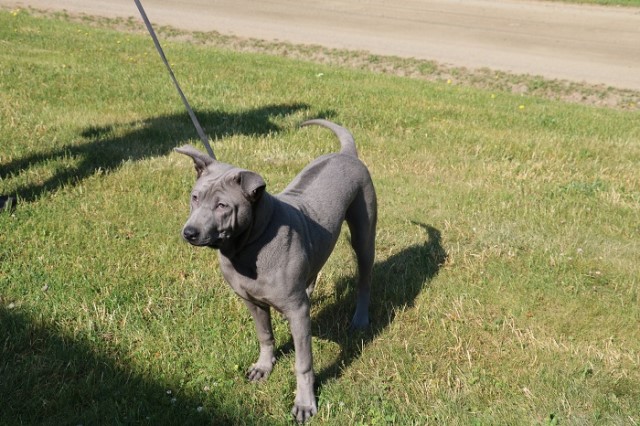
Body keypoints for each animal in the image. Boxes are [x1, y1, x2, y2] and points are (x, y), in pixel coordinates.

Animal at [175, 118, 376, 422]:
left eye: (222, 206)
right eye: (194, 197)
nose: (189, 233)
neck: (249, 247)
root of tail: (346, 153)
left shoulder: (298, 312)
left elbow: (303, 363)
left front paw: (305, 404)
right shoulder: (251, 300)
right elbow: (264, 335)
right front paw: (263, 367)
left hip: (363, 235)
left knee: (364, 279)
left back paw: (360, 319)